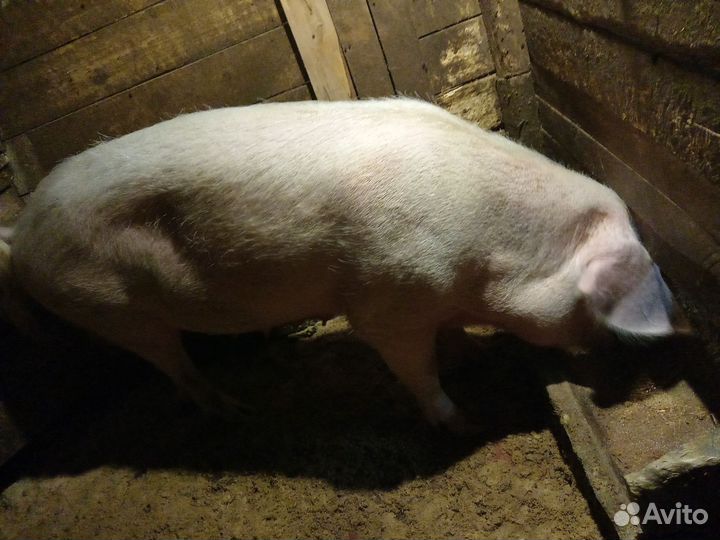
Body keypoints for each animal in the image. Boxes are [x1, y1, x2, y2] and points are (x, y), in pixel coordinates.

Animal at [0, 98, 688, 432]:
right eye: (596, 306)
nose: (616, 356)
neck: (488, 260)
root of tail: (22, 233)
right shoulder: (385, 302)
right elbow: (416, 369)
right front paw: (465, 422)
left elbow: (451, 336)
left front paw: (470, 354)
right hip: (109, 306)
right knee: (175, 367)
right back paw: (236, 412)